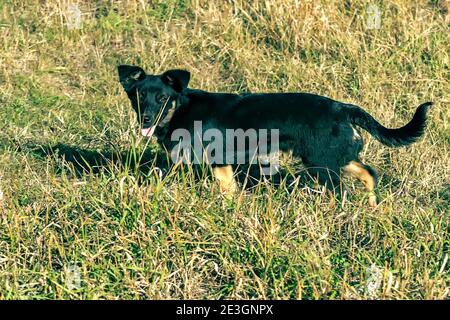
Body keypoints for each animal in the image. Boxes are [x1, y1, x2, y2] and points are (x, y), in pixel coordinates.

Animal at [117, 64, 432, 208]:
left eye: (162, 99)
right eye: (139, 96)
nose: (145, 119)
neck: (181, 110)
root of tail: (343, 107)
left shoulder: (219, 160)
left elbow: (226, 189)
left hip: (323, 163)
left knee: (345, 187)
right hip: (328, 156)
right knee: (368, 172)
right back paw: (372, 205)